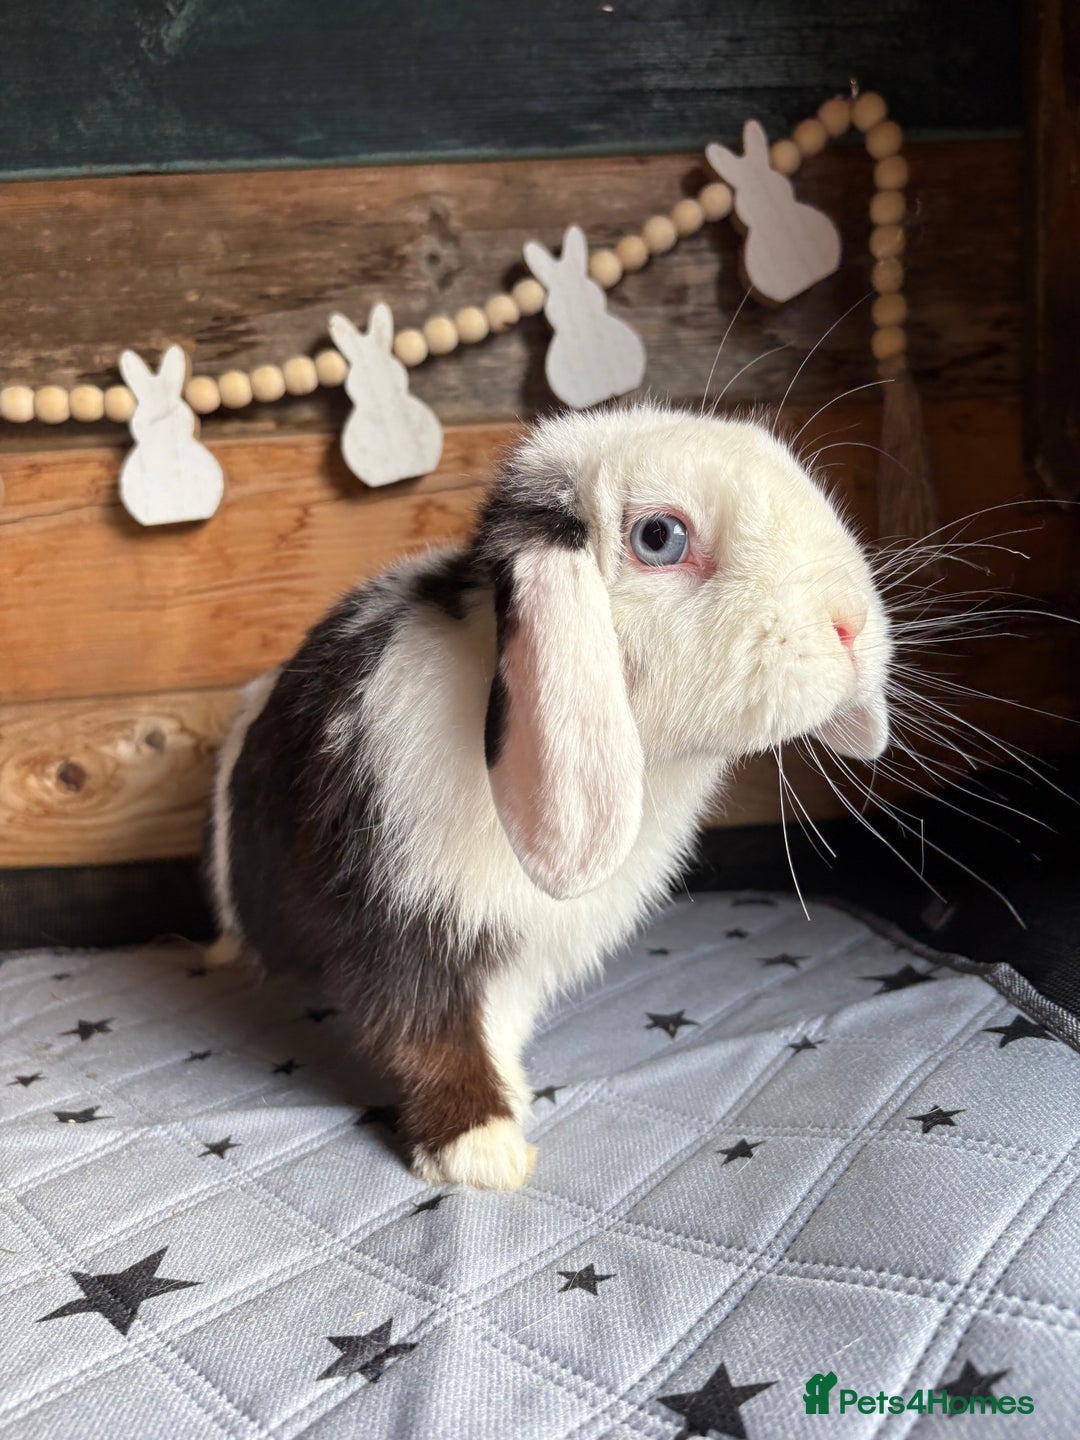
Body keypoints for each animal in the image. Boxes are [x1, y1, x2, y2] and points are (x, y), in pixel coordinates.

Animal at [207, 402, 891, 1190]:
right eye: (660, 537)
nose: (851, 625)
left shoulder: (518, 953)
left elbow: (496, 1027)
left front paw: (516, 1096)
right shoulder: (400, 921)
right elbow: (427, 1033)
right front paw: (481, 1149)